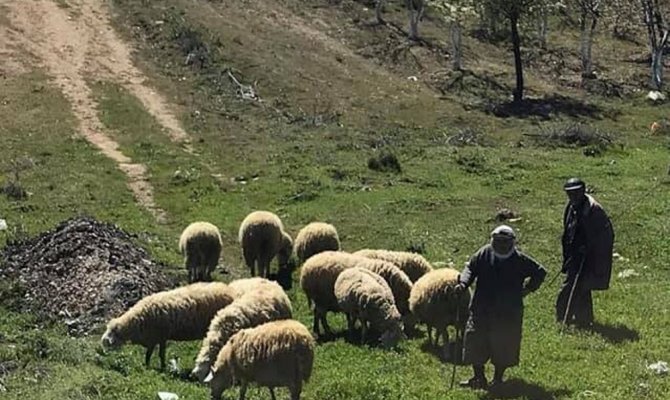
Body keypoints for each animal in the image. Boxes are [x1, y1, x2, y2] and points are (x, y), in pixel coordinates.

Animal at [100, 282, 236, 368]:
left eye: (112, 333)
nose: (103, 347)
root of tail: (229, 291)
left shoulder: (158, 336)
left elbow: (158, 354)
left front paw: (159, 367)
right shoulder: (156, 337)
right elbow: (151, 354)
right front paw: (148, 365)